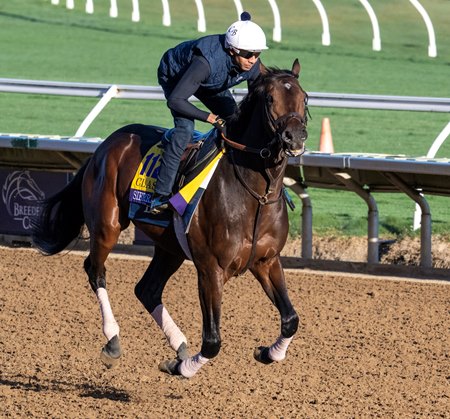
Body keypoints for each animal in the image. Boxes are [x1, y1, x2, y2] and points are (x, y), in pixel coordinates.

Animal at [29, 58, 308, 378]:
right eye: (270, 98)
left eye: (304, 98)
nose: (295, 137)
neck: (254, 195)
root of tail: (106, 144)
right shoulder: (210, 268)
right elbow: (212, 342)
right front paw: (182, 368)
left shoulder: (266, 260)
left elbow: (291, 319)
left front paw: (268, 352)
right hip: (107, 225)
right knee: (95, 271)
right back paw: (113, 340)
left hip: (170, 246)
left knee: (147, 289)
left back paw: (179, 344)